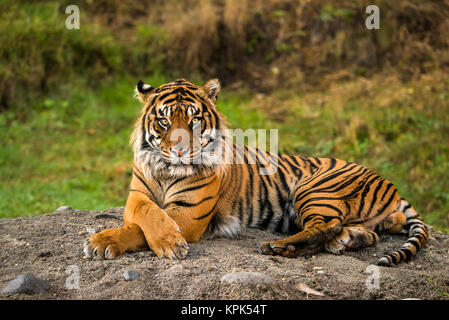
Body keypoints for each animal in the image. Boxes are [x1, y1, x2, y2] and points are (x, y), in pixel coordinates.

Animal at [82, 78, 428, 268]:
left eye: (194, 120)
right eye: (164, 121)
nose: (180, 151)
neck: (168, 172)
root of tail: (391, 184)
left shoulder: (189, 214)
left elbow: (142, 228)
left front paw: (105, 241)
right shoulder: (136, 198)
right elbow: (146, 215)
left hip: (315, 188)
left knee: (325, 225)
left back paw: (278, 247)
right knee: (367, 230)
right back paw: (347, 240)